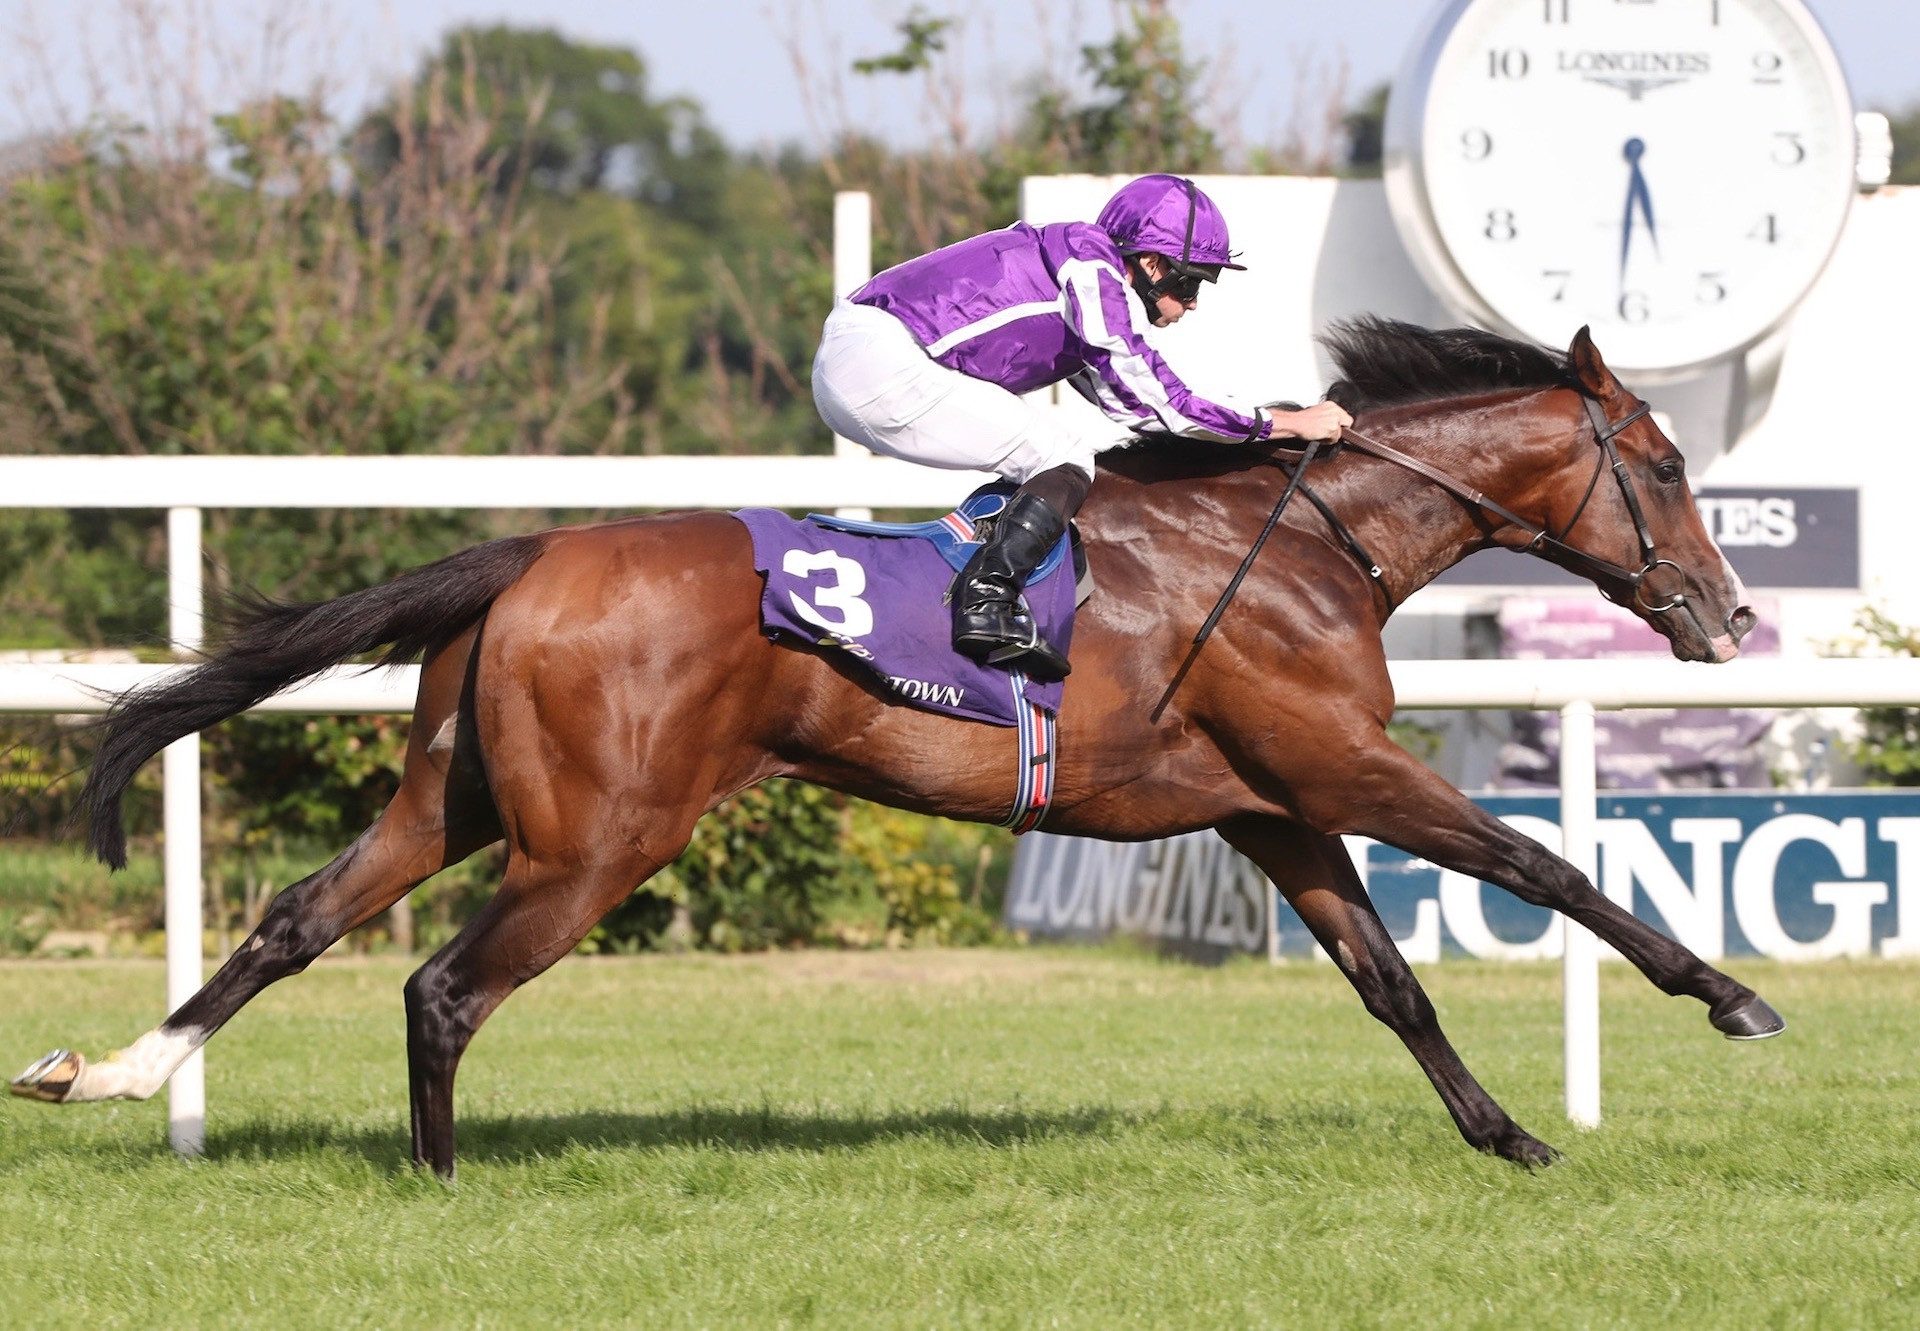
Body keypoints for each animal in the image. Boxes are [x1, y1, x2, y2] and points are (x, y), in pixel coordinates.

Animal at [18, 318, 1781, 1175]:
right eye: (1666, 463)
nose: (1728, 610)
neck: (1298, 540)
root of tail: (532, 551)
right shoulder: (1340, 765)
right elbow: (1541, 862)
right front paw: (1732, 994)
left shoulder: (1272, 801)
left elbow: (1393, 980)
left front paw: (1513, 1135)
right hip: (602, 834)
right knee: (441, 986)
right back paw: (440, 1180)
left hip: (451, 795)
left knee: (293, 919)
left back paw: (110, 1070)